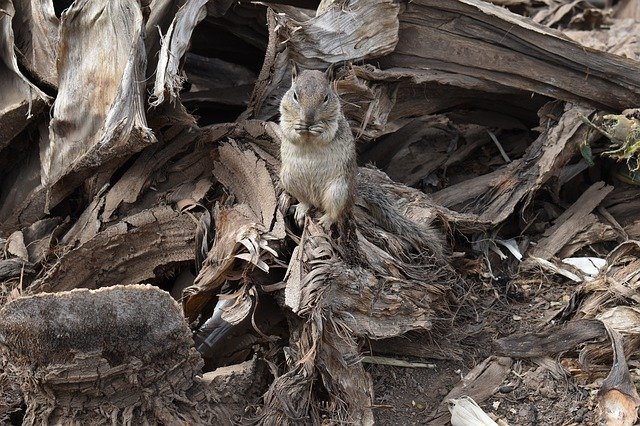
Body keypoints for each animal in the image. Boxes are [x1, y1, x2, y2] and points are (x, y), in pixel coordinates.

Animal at [278, 62, 448, 256]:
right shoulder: (284, 116)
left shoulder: (336, 122)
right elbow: (287, 129)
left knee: (336, 211)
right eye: (295, 95)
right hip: (289, 179)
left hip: (338, 191)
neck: (308, 133)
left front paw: (319, 128)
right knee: (306, 201)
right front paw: (297, 126)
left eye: (326, 97)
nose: (308, 118)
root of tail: (353, 193)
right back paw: (302, 208)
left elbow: (328, 133)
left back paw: (326, 220)